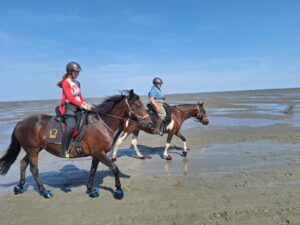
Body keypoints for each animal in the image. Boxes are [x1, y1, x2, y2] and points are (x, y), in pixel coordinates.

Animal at [0, 89, 151, 199]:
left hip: (34, 149)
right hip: (33, 150)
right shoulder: (99, 153)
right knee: (34, 169)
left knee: (23, 163)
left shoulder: (96, 154)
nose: (150, 122)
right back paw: (44, 191)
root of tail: (21, 122)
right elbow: (114, 168)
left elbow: (93, 170)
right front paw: (118, 190)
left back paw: (19, 187)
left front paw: (90, 190)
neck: (102, 123)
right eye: (138, 105)